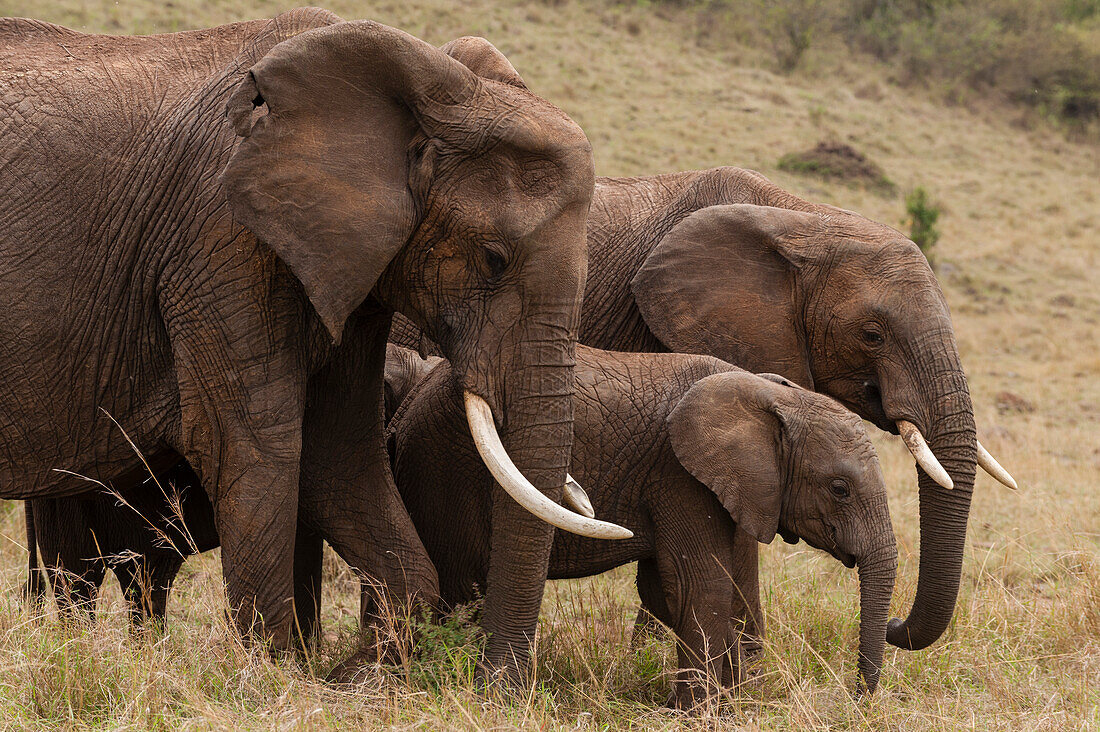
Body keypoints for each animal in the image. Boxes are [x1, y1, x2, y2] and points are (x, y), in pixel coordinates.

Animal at [0, 11, 629, 678]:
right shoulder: (223, 239)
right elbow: (250, 443)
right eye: (493, 258)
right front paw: (275, 674)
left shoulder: (348, 263)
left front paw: (355, 677)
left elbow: (340, 450)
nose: (497, 684)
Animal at [391, 343, 897, 704]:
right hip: (446, 466)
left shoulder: (732, 485)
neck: (770, 396)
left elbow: (690, 586)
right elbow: (698, 583)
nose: (856, 700)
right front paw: (702, 713)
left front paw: (733, 699)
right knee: (464, 585)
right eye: (839, 489)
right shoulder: (678, 474)